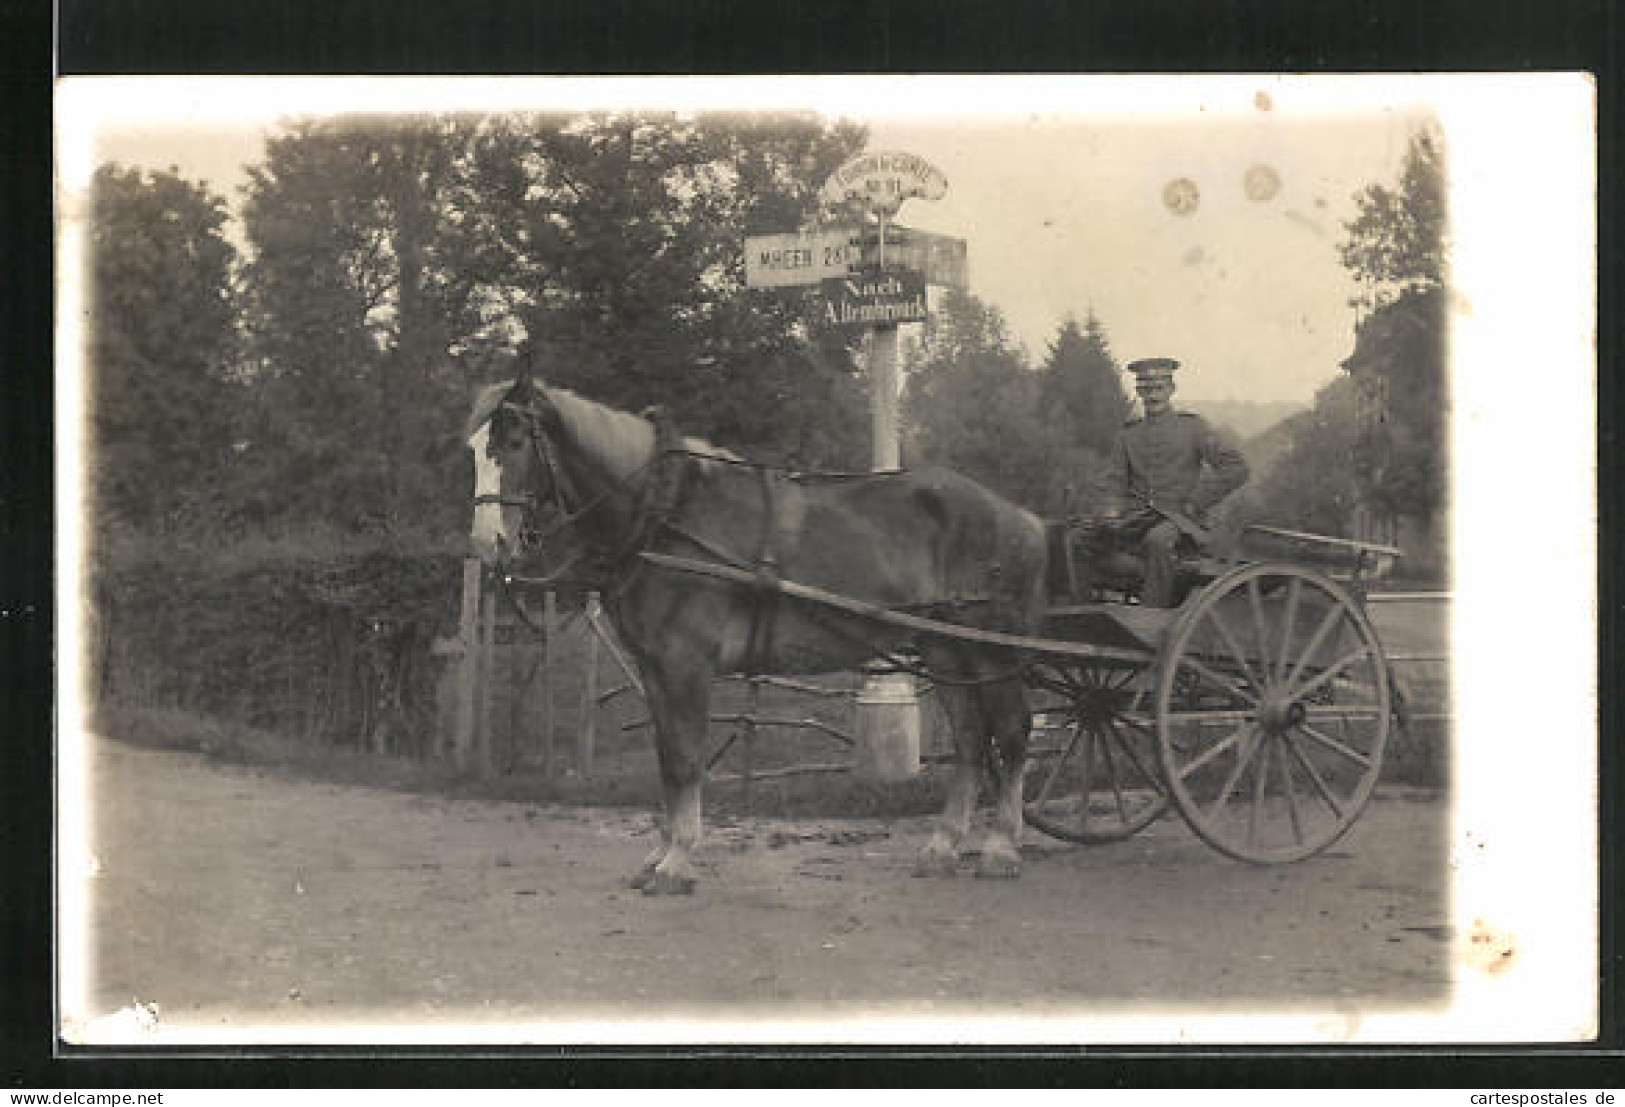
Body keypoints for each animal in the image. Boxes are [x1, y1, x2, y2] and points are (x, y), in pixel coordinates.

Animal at [468, 367, 1053, 890]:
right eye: (472, 449)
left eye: (515, 442)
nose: (485, 544)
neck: (663, 511)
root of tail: (1023, 518)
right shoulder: (655, 669)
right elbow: (665, 758)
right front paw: (658, 853)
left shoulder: (686, 667)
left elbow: (686, 758)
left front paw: (678, 859)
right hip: (945, 650)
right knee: (971, 739)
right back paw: (943, 846)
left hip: (991, 650)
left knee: (1011, 732)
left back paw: (1001, 848)